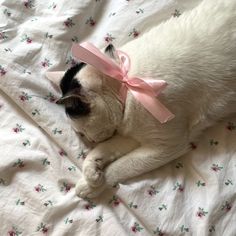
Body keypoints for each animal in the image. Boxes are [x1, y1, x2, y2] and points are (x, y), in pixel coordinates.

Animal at [46, 0, 236, 198]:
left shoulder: (165, 146)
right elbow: (103, 150)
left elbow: (120, 167)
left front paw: (92, 186)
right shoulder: (134, 135)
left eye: (81, 132)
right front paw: (92, 171)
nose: (89, 140)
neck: (125, 84)